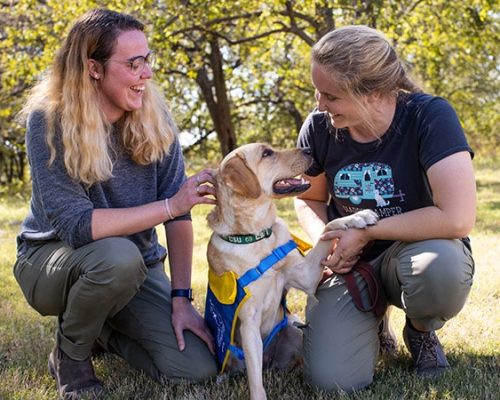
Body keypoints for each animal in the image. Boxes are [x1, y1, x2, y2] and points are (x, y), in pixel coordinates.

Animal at [205, 145, 376, 400]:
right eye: (267, 153)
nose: (308, 149)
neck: (259, 236)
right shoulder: (248, 322)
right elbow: (255, 381)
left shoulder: (307, 276)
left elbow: (328, 228)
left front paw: (357, 217)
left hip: (295, 328)